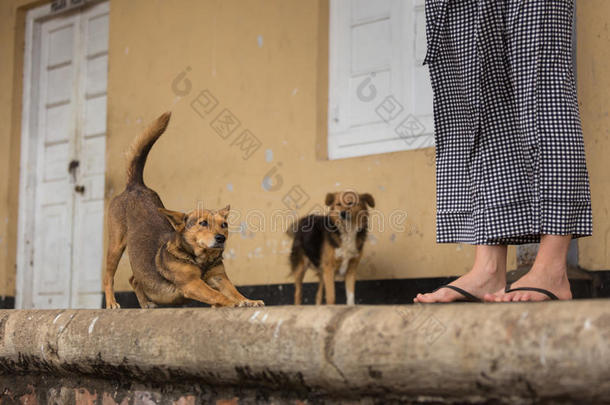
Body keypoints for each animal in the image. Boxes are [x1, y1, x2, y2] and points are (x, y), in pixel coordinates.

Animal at [102, 112, 264, 308]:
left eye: (224, 225)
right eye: (203, 223)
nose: (221, 238)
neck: (201, 260)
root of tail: (136, 186)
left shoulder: (220, 278)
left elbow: (234, 291)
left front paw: (248, 301)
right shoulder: (192, 284)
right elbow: (217, 295)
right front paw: (229, 303)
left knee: (133, 279)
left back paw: (146, 303)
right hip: (116, 246)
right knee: (108, 277)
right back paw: (111, 303)